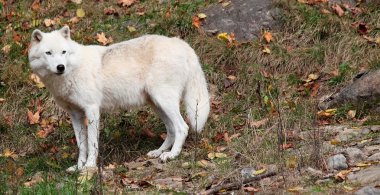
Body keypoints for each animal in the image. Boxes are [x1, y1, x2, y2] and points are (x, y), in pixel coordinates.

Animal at [27, 25, 209, 171]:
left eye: (63, 52)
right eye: (48, 53)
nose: (60, 67)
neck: (71, 71)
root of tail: (180, 43)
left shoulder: (92, 110)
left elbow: (92, 143)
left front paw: (89, 167)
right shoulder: (76, 115)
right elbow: (82, 145)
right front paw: (78, 167)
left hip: (164, 101)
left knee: (182, 127)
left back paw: (171, 155)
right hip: (157, 104)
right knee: (171, 129)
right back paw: (158, 152)